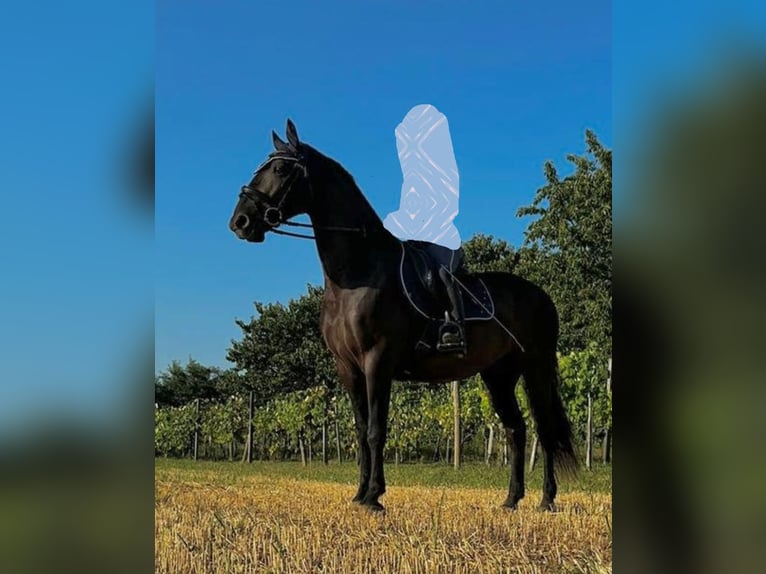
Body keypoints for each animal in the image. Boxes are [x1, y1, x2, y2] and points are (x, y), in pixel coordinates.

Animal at [228, 119, 577, 512]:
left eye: (279, 169)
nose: (240, 221)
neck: (357, 274)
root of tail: (540, 295)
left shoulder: (377, 362)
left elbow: (376, 430)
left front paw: (374, 497)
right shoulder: (348, 368)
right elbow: (361, 431)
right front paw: (359, 494)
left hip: (535, 366)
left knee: (544, 429)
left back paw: (546, 499)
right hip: (498, 374)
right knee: (516, 428)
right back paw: (511, 499)